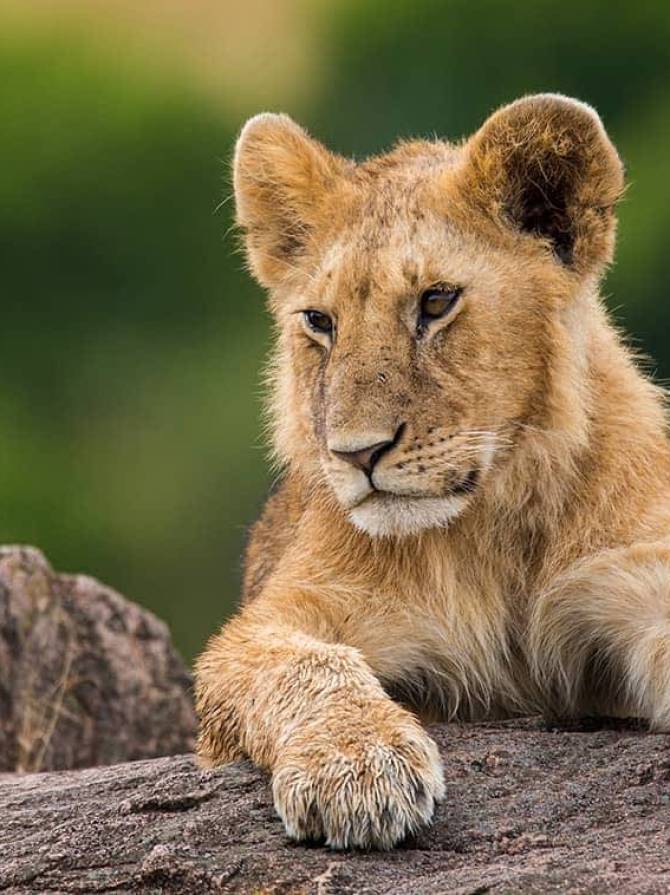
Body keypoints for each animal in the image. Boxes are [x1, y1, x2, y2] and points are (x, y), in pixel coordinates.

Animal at [193, 94, 670, 852]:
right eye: (320, 321)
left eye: (437, 302)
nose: (357, 453)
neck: (493, 524)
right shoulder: (268, 621)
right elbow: (308, 663)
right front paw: (357, 766)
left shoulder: (629, 575)